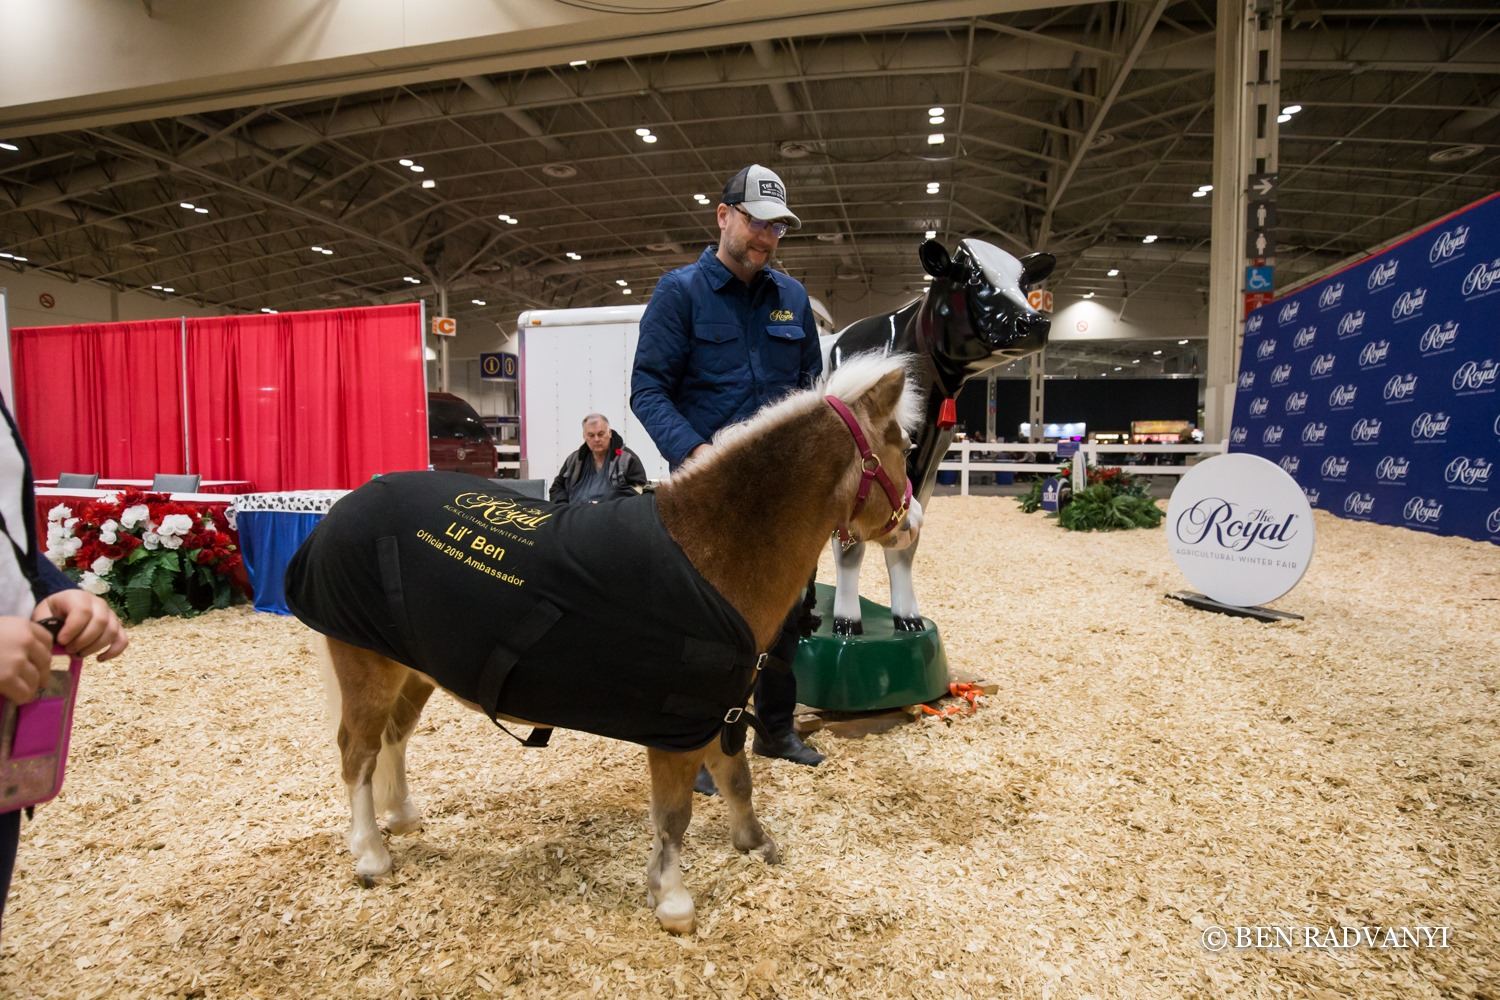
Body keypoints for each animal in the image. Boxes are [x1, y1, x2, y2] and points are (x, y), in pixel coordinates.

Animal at [304, 355, 918, 935]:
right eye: (904, 446)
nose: (910, 524)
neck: (712, 551)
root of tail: (346, 506)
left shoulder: (720, 708)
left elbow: (737, 778)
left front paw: (755, 842)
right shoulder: (676, 726)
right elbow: (674, 816)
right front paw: (672, 900)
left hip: (415, 669)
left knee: (393, 739)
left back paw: (403, 816)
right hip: (366, 666)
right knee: (358, 754)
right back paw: (371, 856)